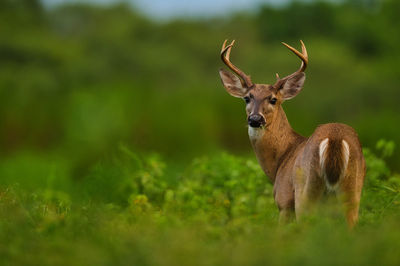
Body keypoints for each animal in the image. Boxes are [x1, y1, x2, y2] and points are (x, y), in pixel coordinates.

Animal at [219, 40, 366, 229]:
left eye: (273, 99)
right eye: (247, 98)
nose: (255, 119)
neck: (280, 160)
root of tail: (335, 139)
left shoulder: (284, 201)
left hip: (305, 193)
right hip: (352, 191)